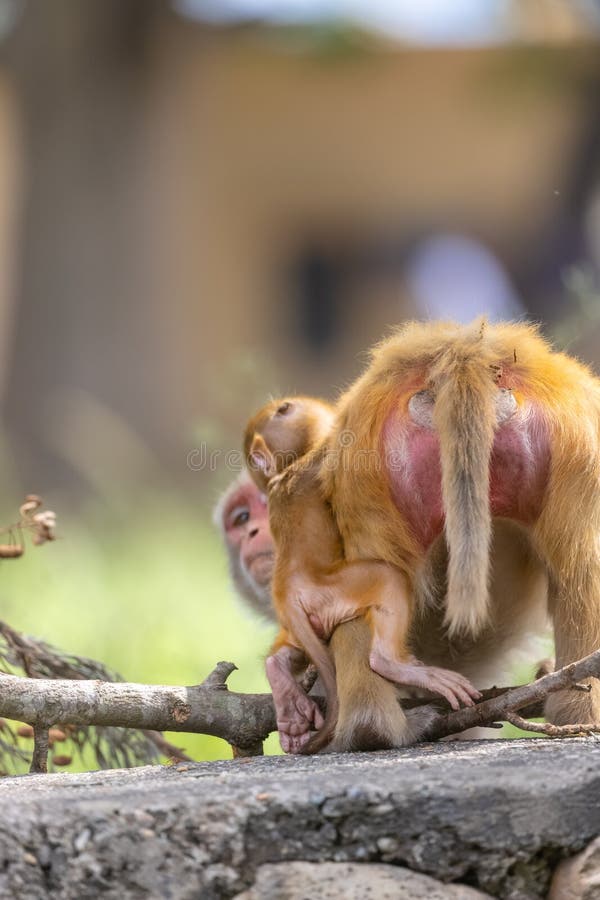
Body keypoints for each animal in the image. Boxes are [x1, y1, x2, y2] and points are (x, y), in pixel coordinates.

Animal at [244, 396, 480, 753]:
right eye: (284, 410)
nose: (293, 404)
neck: (283, 473)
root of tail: (286, 593)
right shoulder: (317, 463)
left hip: (312, 619)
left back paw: (282, 682)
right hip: (334, 592)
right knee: (389, 578)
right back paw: (390, 664)